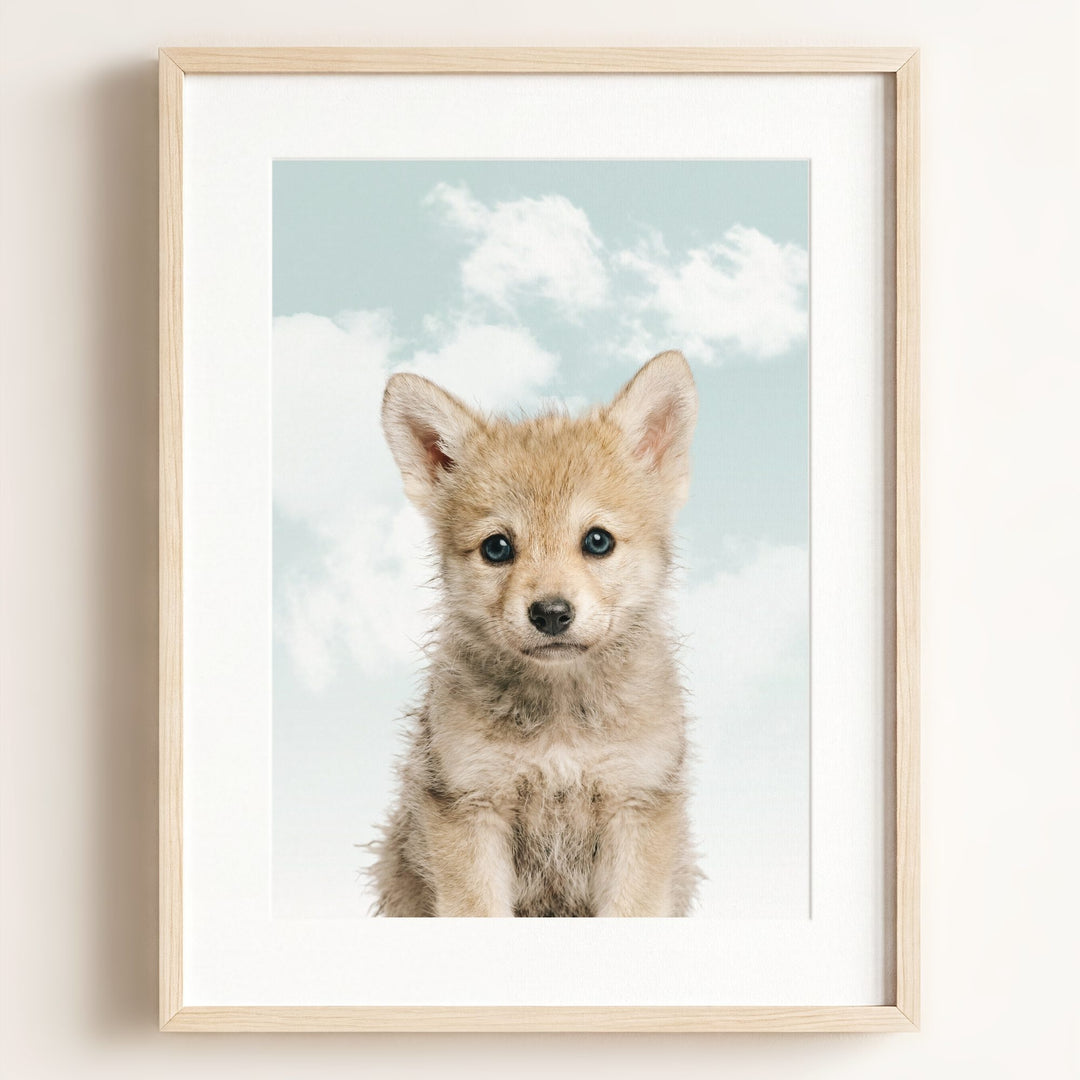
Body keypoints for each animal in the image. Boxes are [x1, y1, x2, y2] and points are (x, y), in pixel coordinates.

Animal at [370, 350, 700, 917]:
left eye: (597, 541)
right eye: (497, 548)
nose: (550, 613)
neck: (560, 725)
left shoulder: (636, 805)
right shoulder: (470, 807)